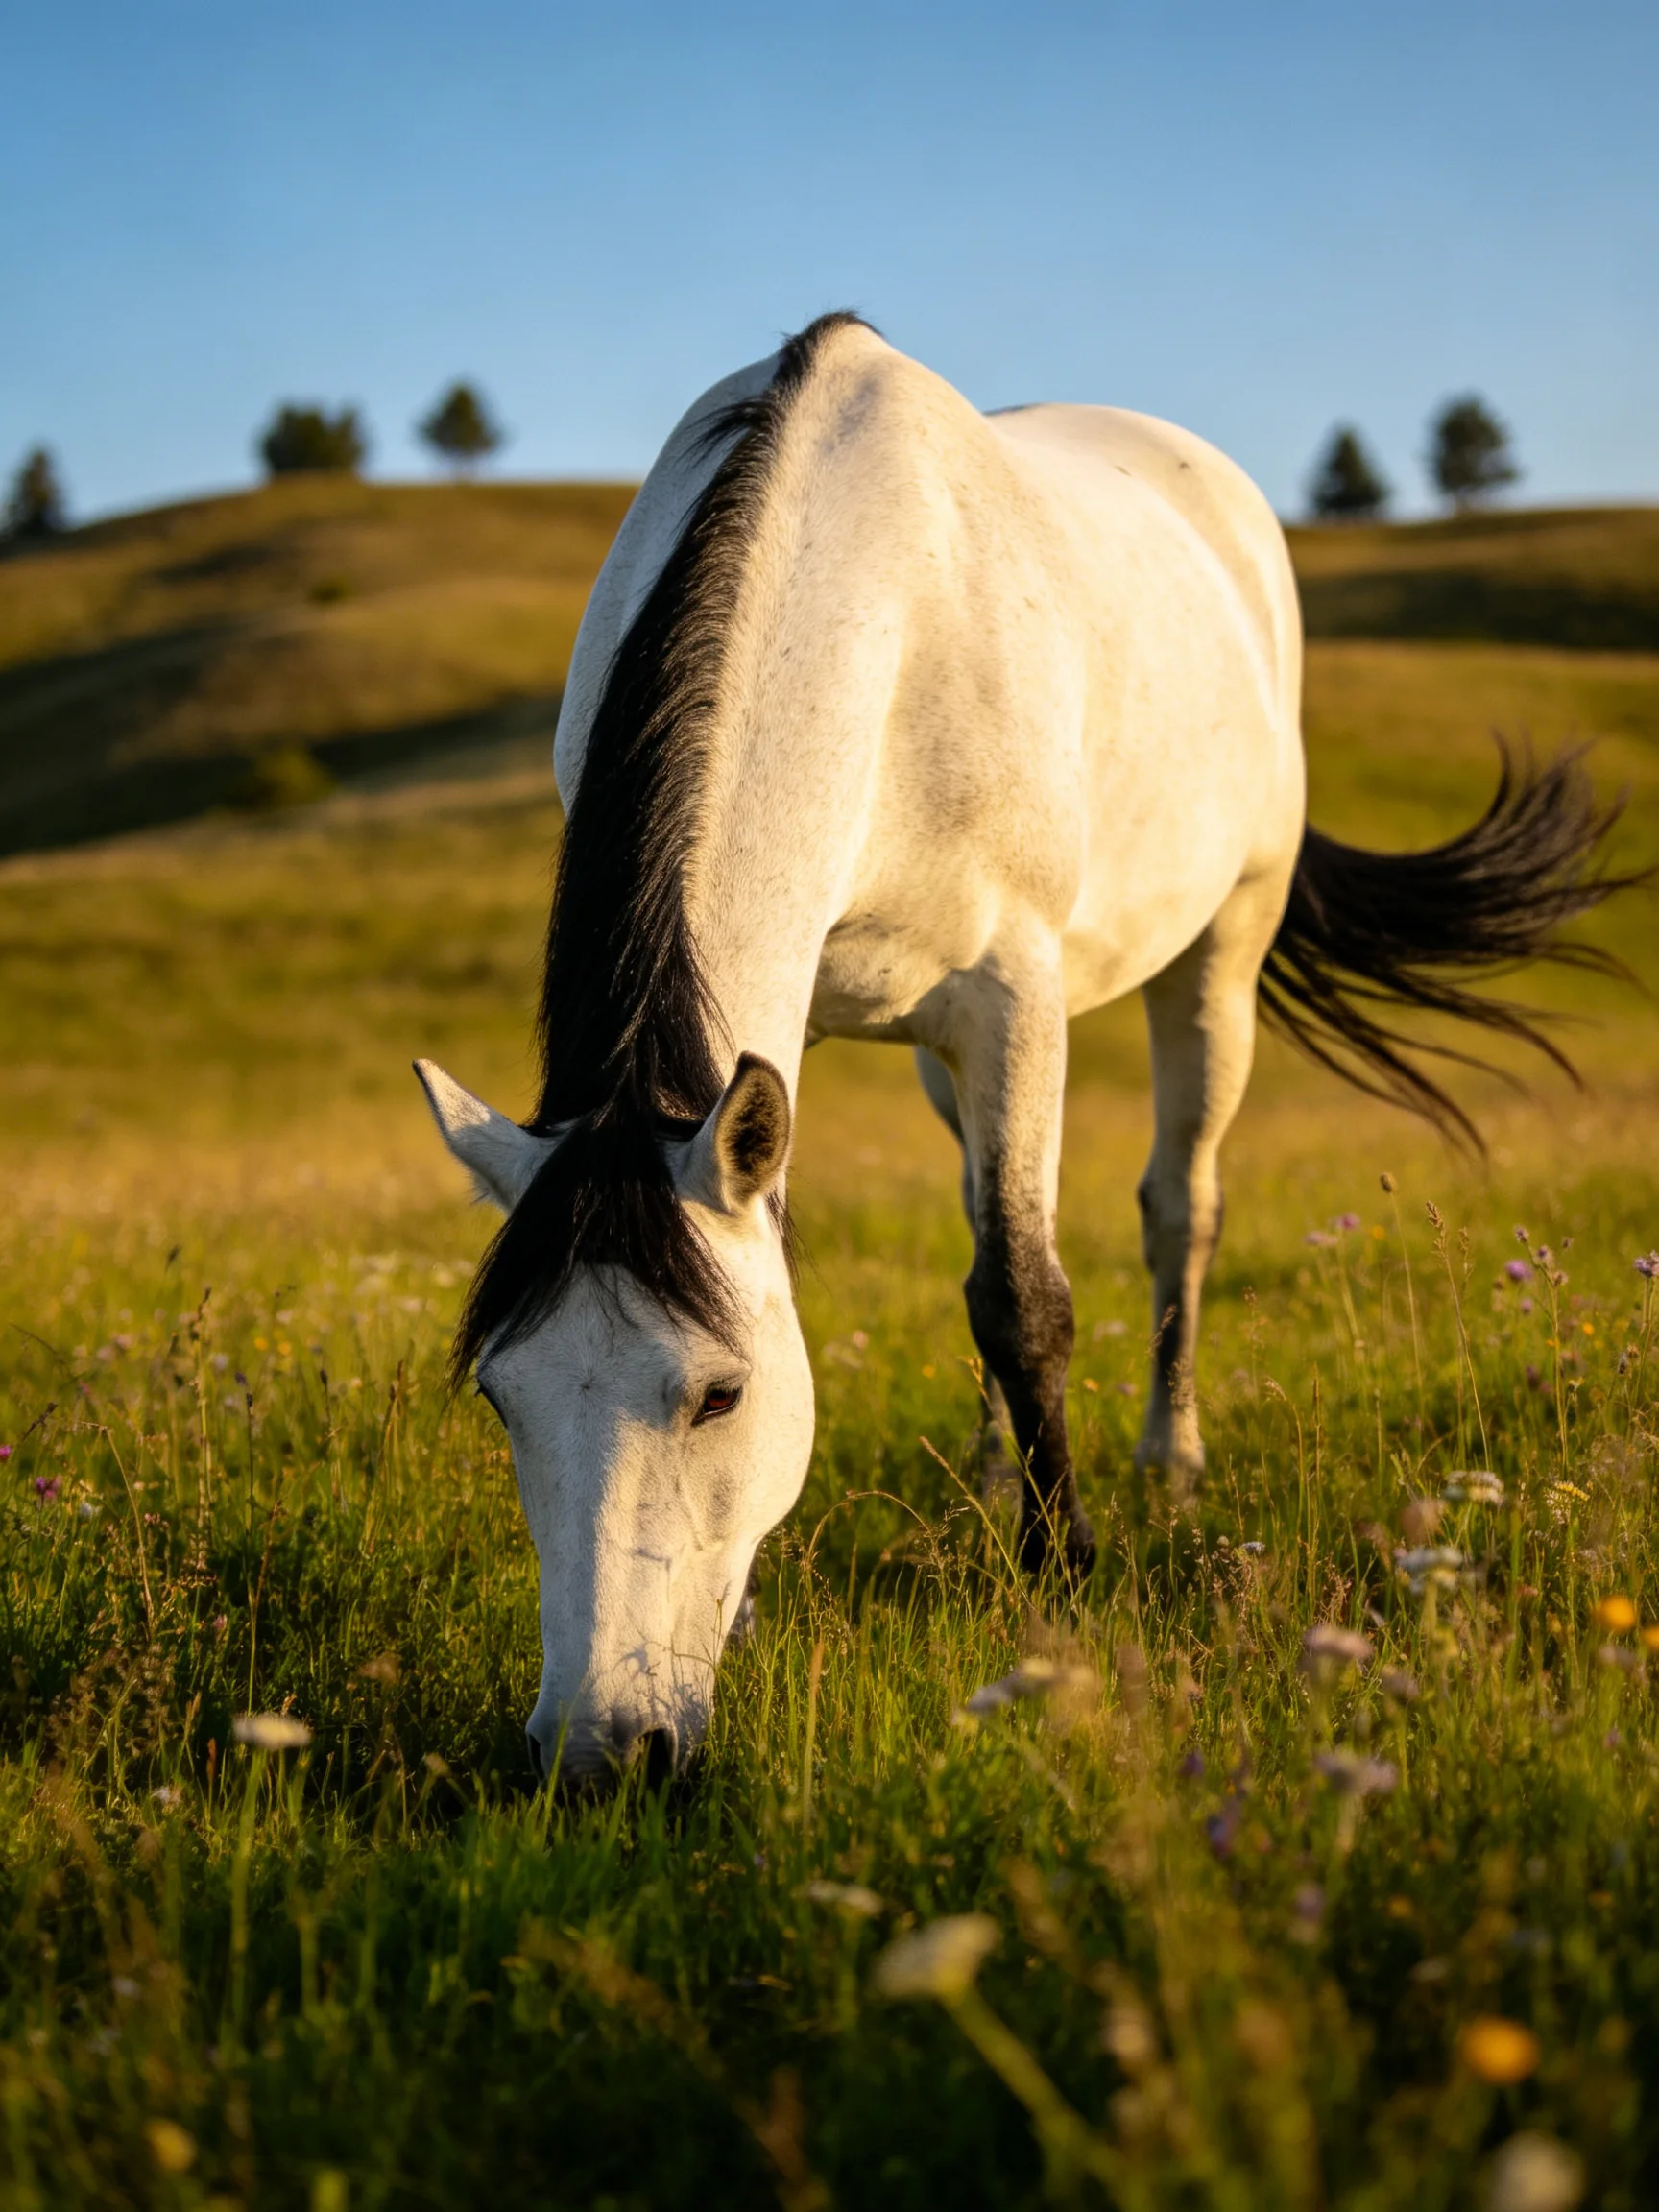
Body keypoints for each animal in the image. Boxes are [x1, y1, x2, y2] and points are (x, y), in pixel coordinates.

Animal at [416, 312, 1626, 1787]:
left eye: (718, 1395)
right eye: (501, 1398)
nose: (602, 1753)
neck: (876, 619)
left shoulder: (1015, 994)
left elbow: (1025, 1293)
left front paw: (1065, 1566)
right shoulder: (797, 1034)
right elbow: (921, 1267)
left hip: (1216, 955)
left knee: (1179, 1207)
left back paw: (1167, 1459)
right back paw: (991, 1476)